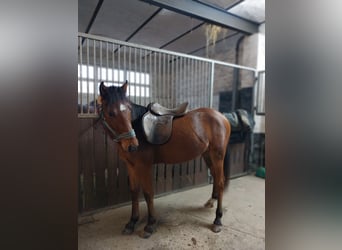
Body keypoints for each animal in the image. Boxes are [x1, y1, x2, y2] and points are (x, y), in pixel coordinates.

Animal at [97, 81, 231, 238]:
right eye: (111, 113)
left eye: (129, 110)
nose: (133, 145)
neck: (138, 128)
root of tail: (222, 117)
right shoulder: (131, 166)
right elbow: (134, 192)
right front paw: (131, 222)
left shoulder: (144, 166)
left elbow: (148, 193)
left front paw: (150, 225)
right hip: (208, 155)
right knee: (216, 178)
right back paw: (211, 202)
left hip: (217, 156)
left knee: (220, 183)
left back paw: (217, 220)